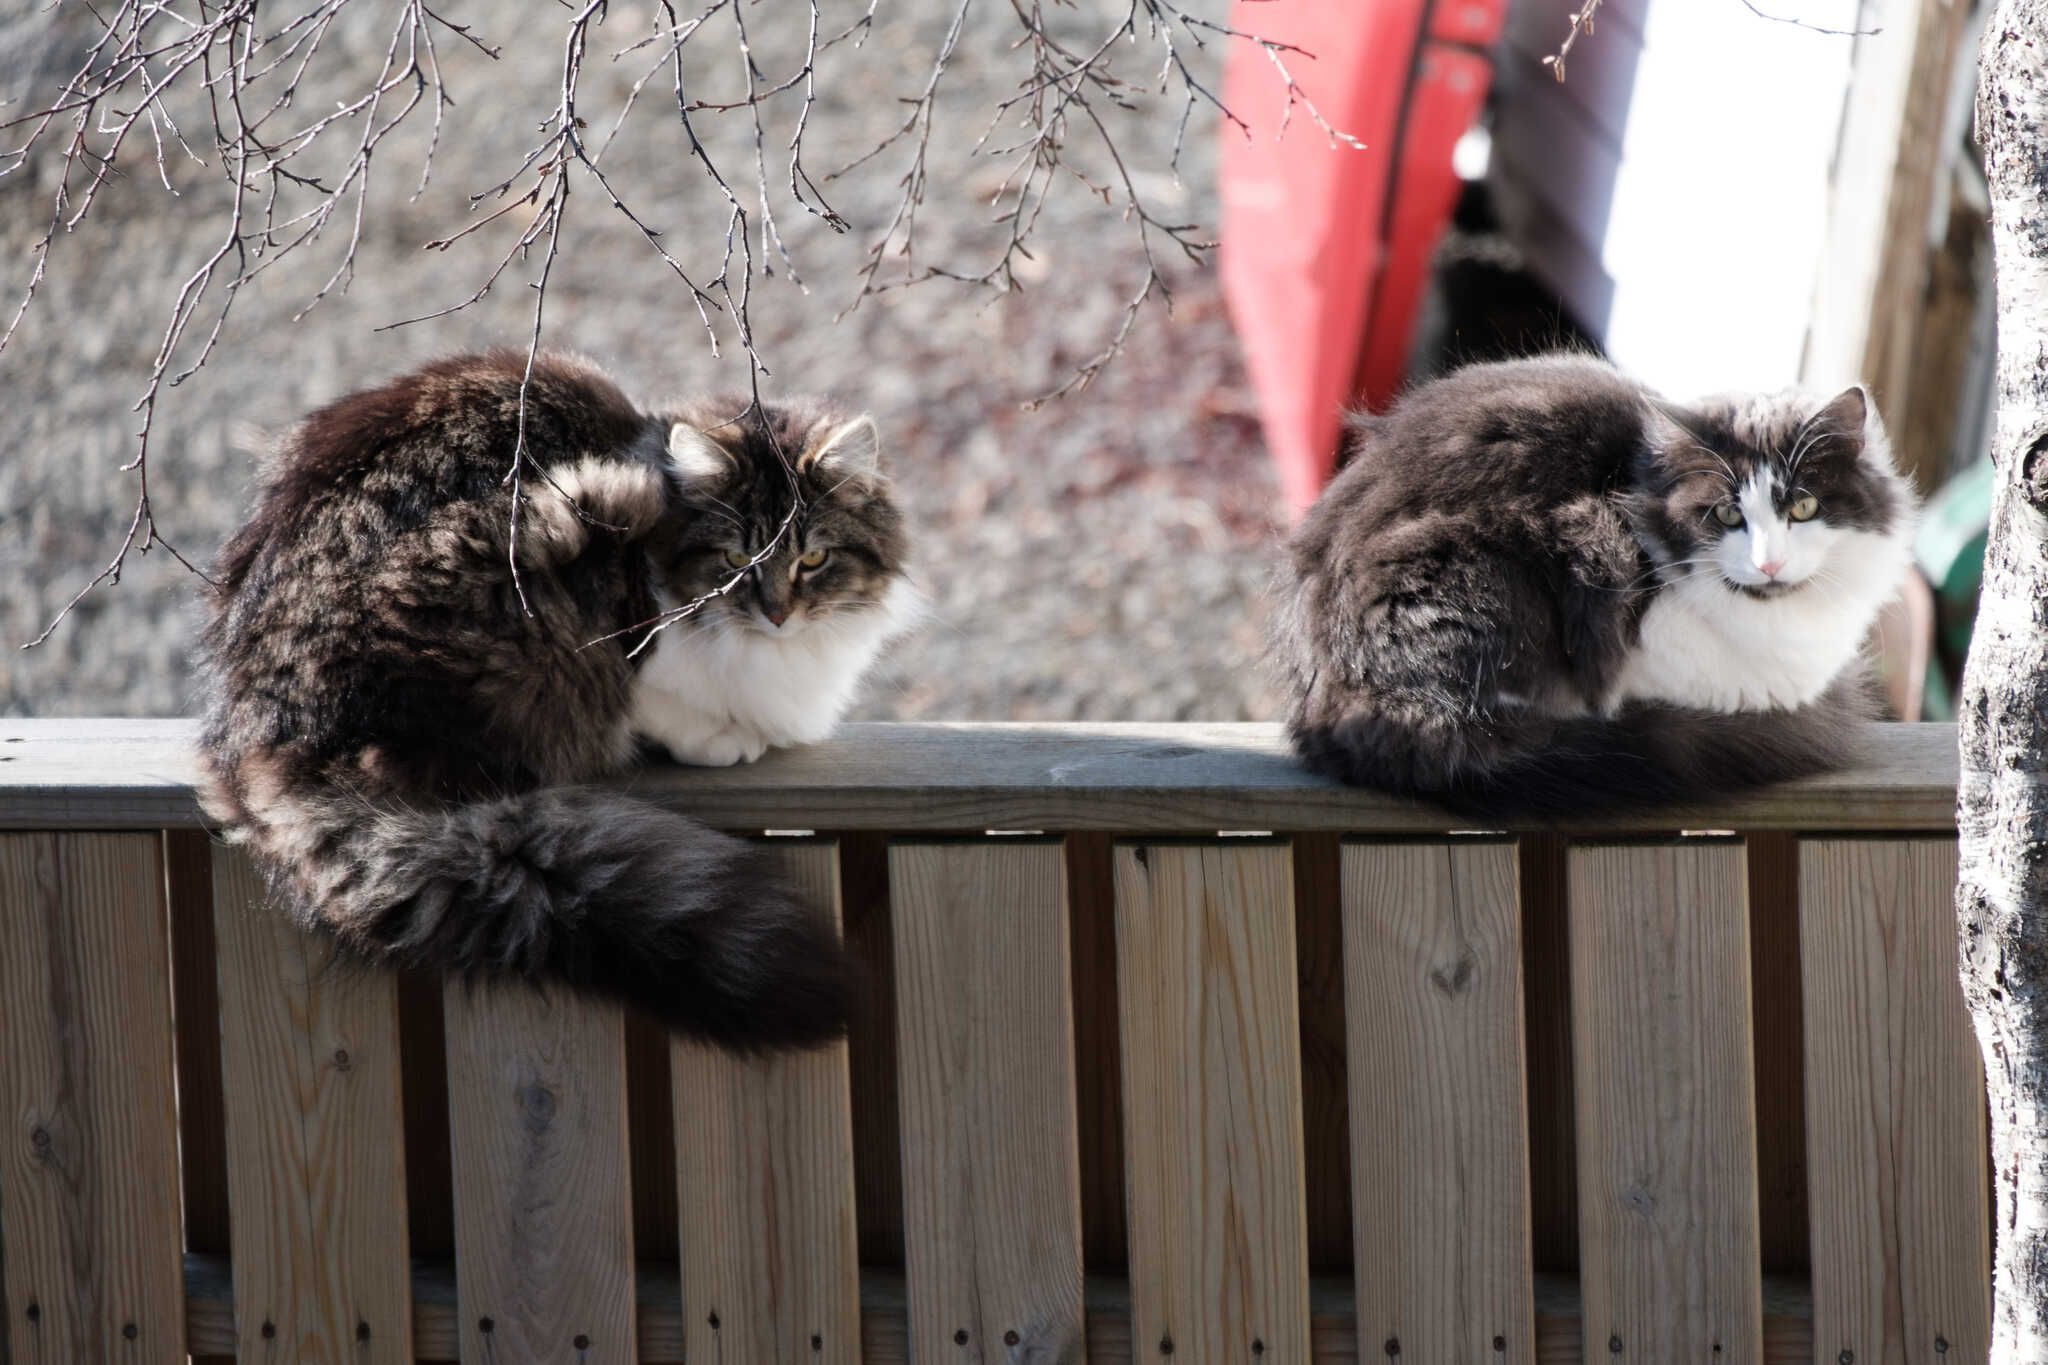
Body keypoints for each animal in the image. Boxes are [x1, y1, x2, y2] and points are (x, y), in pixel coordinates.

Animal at [199, 349, 921, 1047]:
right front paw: (720, 738)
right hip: (553, 527)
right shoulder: (633, 610)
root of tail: (264, 732)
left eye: (813, 560)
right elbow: (654, 695)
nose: (777, 614)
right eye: (737, 560)